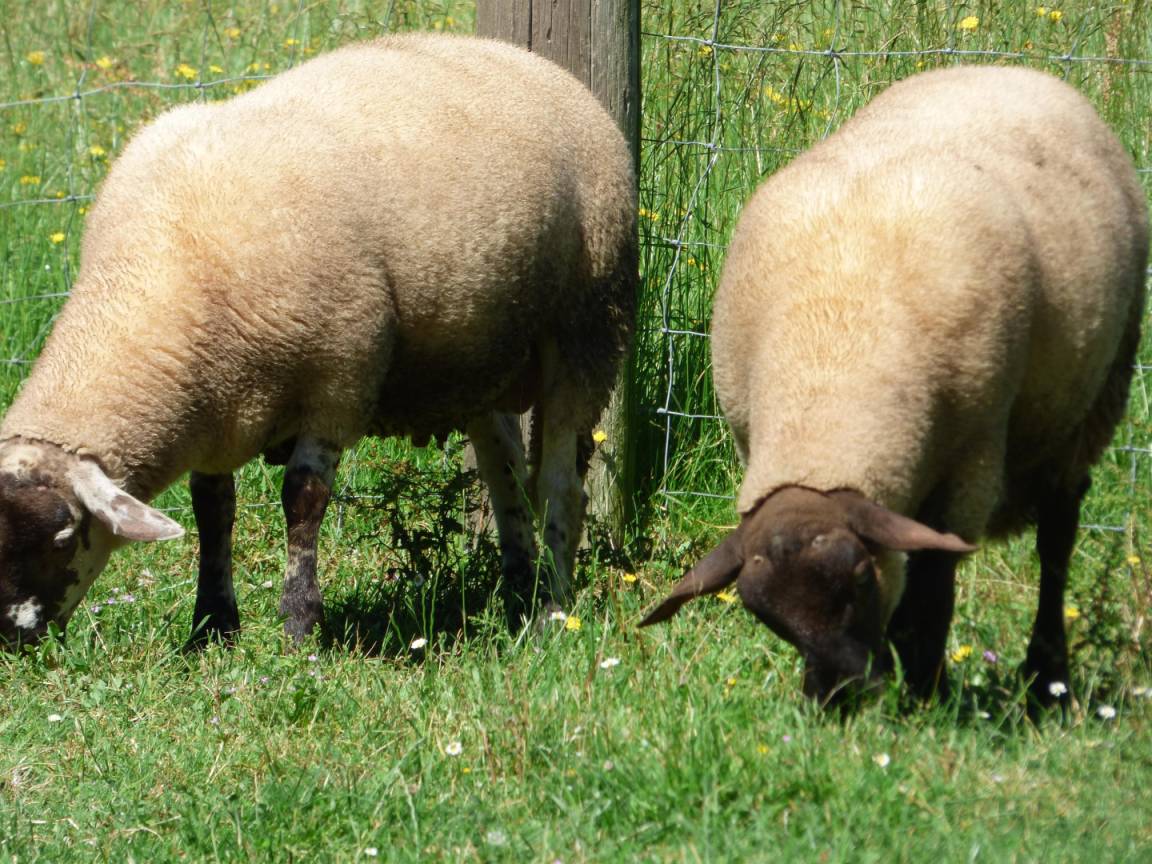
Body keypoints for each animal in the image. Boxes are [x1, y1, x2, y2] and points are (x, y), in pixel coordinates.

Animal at [0, 33, 636, 649]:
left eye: (63, 537)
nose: (9, 637)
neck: (166, 274)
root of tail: (525, 59)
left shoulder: (340, 378)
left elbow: (301, 499)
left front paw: (299, 626)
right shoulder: (219, 409)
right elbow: (213, 508)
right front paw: (212, 627)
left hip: (589, 319)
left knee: (561, 486)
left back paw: (553, 609)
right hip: (480, 357)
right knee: (504, 469)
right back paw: (518, 592)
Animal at [640, 65, 1148, 707]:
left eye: (859, 578)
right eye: (766, 617)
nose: (840, 695)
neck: (832, 361)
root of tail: (1007, 69)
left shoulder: (969, 465)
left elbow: (929, 596)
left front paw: (928, 694)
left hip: (1096, 395)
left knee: (1058, 536)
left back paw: (1046, 677)